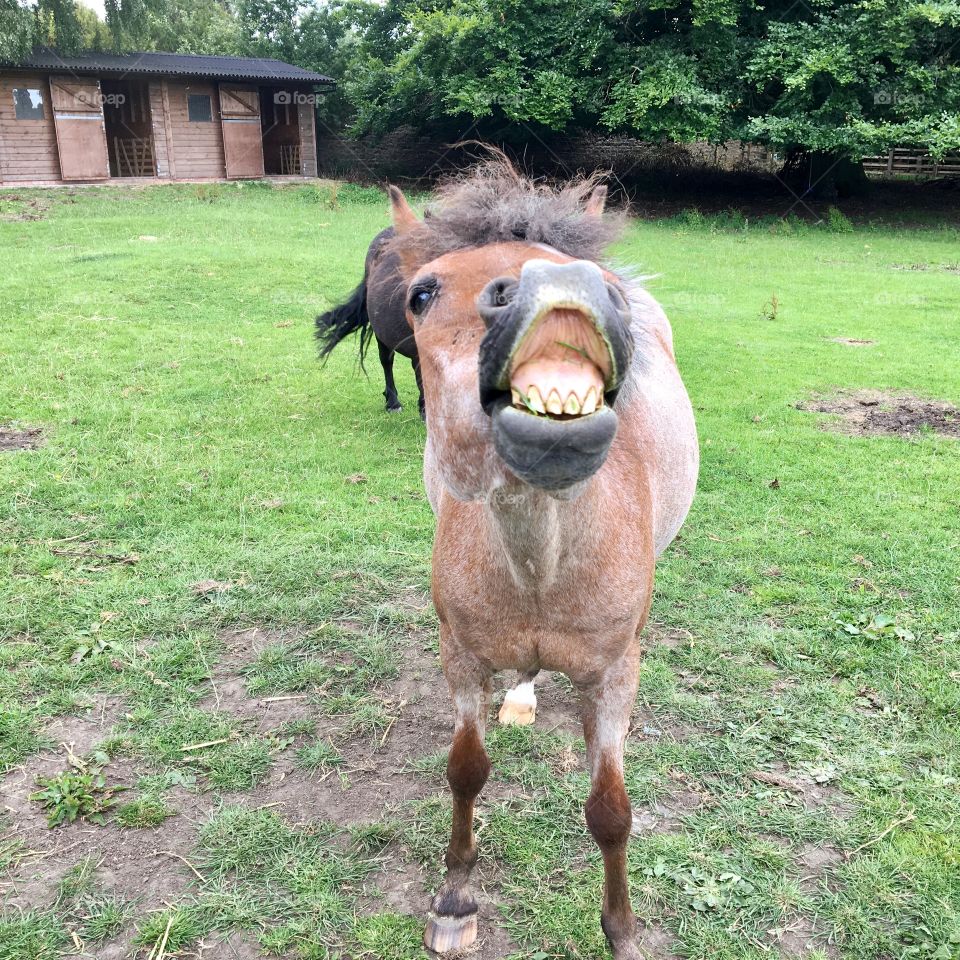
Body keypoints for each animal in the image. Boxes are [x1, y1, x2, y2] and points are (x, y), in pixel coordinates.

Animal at [380, 159, 696, 960]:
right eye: (422, 293)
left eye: (602, 286)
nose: (563, 285)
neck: (540, 567)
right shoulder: (460, 653)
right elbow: (466, 770)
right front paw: (455, 899)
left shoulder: (614, 674)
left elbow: (610, 808)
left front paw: (622, 931)